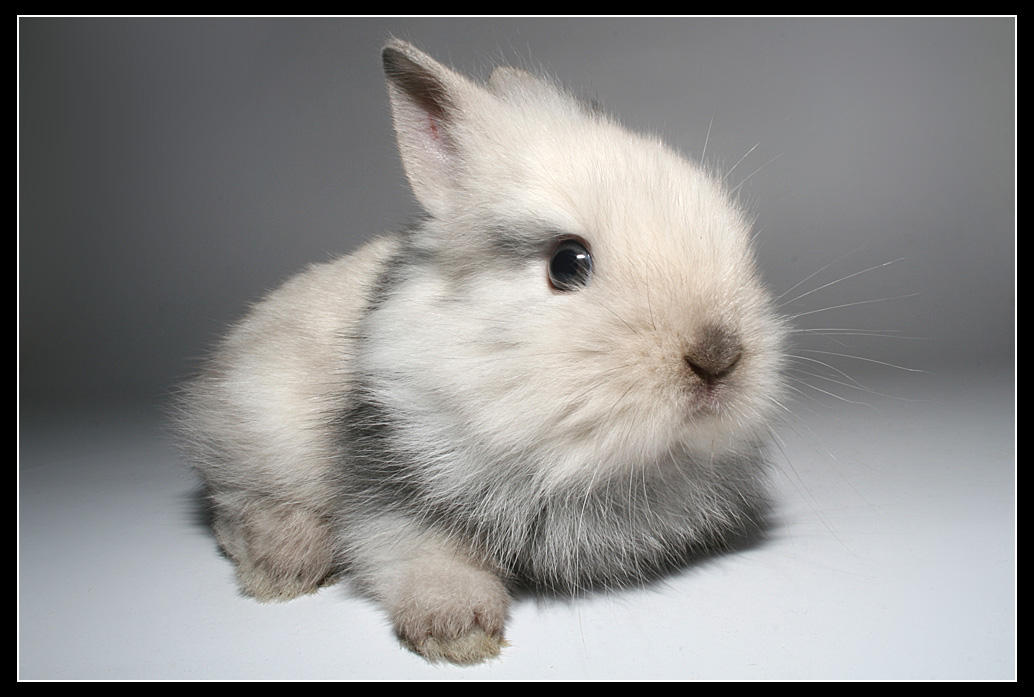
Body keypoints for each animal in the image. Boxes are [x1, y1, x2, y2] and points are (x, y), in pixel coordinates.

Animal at [174, 38, 788, 665]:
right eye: (567, 263)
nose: (718, 356)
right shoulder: (391, 484)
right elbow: (412, 552)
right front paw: (461, 633)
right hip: (257, 431)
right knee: (231, 506)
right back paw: (281, 565)